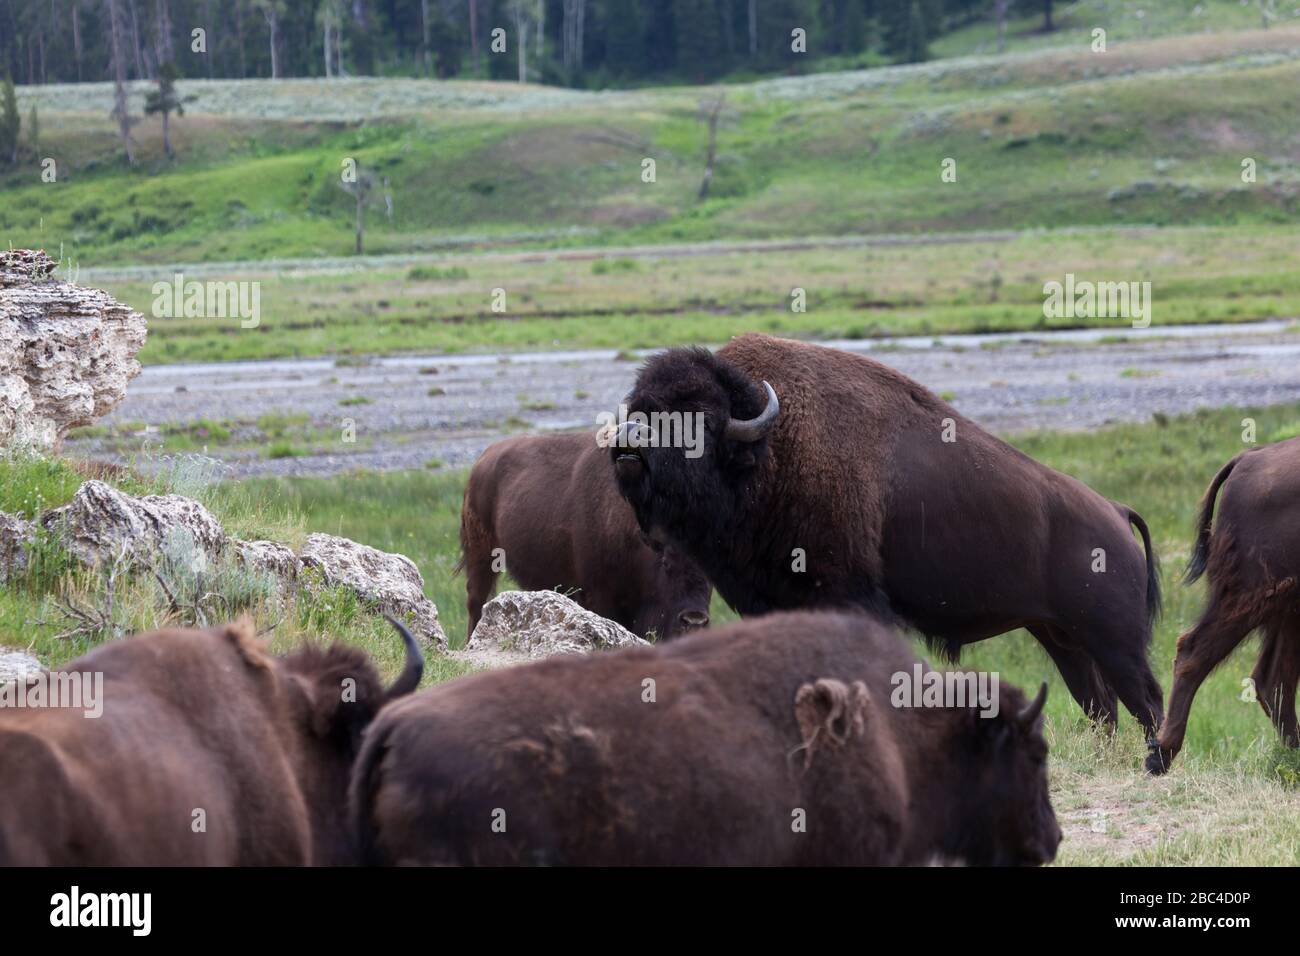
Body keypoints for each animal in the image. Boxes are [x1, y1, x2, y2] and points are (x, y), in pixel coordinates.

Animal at [458, 430, 712, 641]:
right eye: (666, 564)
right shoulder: (599, 596)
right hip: (482, 555)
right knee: (476, 601)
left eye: (711, 576)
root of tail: (484, 458)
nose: (695, 620)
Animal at [611, 333, 1163, 736]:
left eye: (699, 417)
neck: (770, 451)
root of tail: (1116, 512)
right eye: (641, 407)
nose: (628, 442)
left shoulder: (848, 595)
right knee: (1102, 704)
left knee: (1146, 699)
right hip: (1062, 637)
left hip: (1115, 640)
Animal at [1148, 437, 1300, 774]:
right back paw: (1159, 755)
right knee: (1193, 651)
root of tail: (1248, 458)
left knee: (1274, 681)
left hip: (1288, 608)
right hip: (1252, 595)